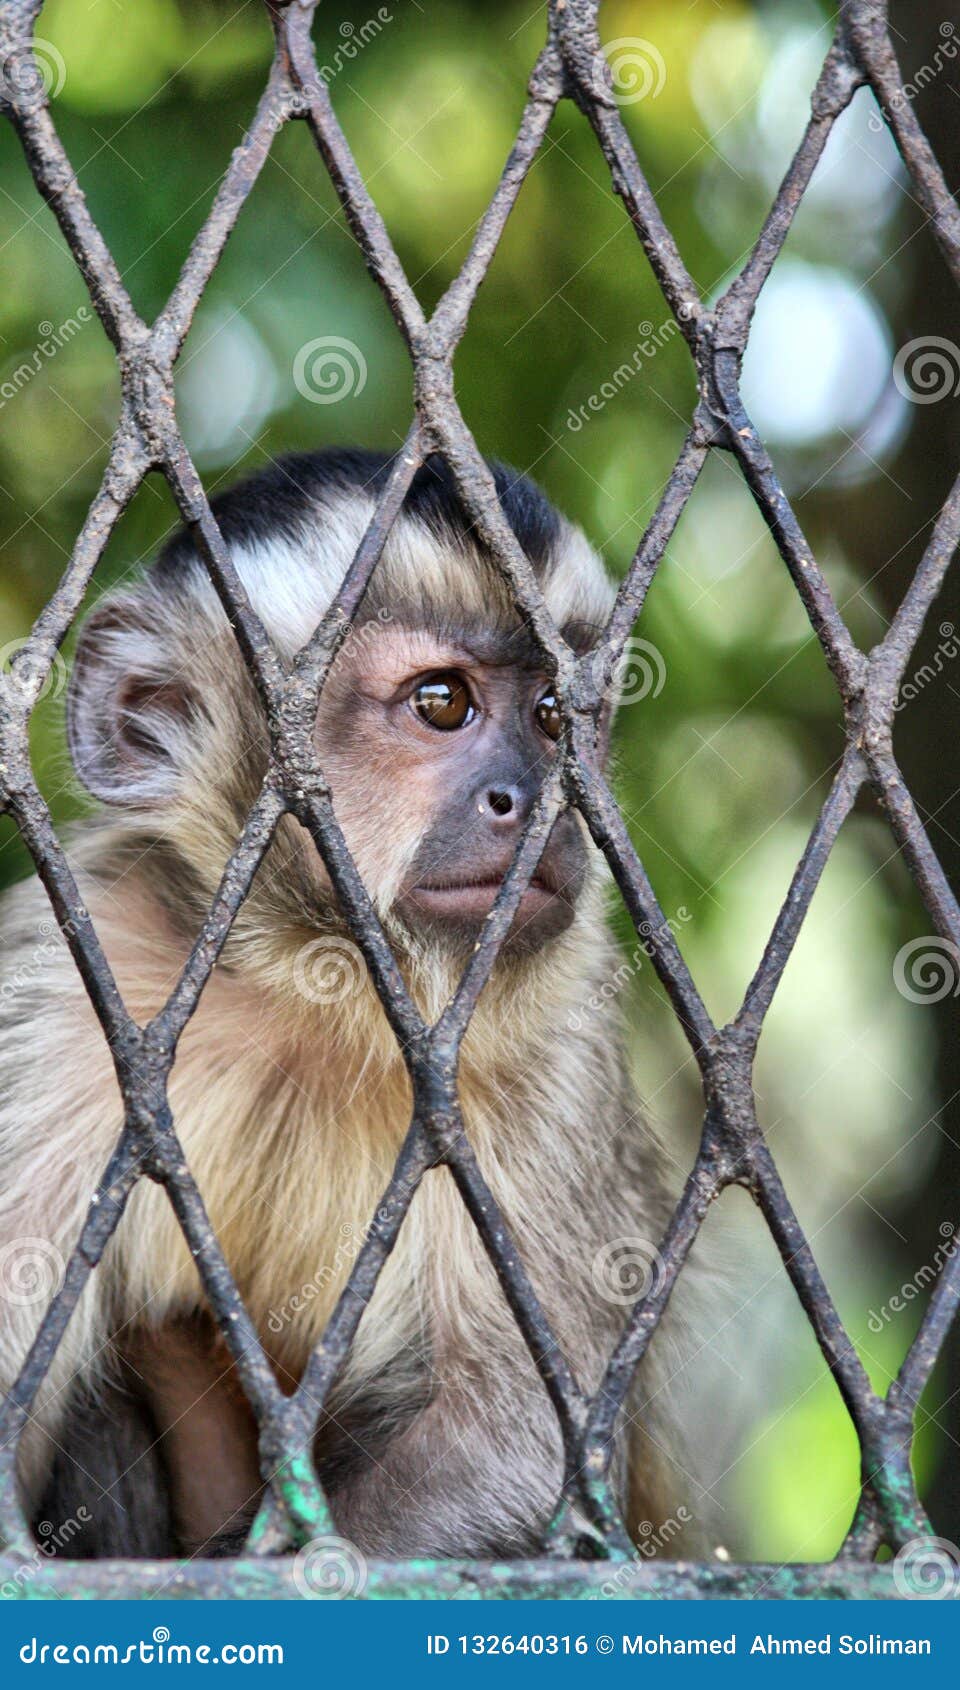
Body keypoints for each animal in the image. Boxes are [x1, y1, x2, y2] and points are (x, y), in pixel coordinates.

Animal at [0, 449, 699, 1562]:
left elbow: (526, 1452)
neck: (319, 991)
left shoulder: (565, 1028)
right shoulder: (70, 976)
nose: (527, 802)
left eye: (554, 718)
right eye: (443, 704)